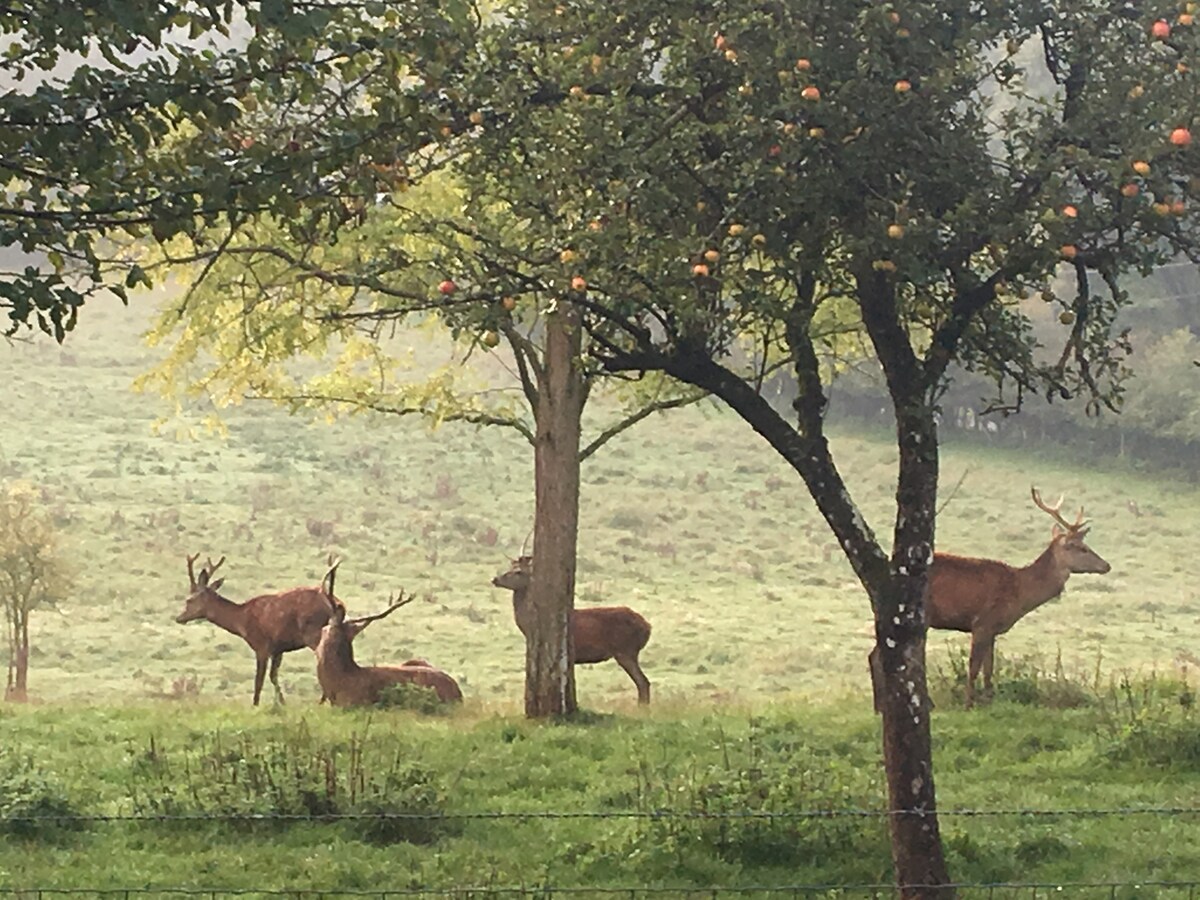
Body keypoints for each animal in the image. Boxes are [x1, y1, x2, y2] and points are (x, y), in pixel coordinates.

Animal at [174, 554, 345, 710]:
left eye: (189, 600)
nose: (179, 618)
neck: (241, 621)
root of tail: (333, 601)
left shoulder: (261, 645)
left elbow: (259, 679)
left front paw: (255, 705)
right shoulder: (278, 648)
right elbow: (273, 676)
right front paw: (282, 702)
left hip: (313, 631)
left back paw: (323, 700)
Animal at [489, 556, 652, 705]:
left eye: (518, 571)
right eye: (510, 568)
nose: (495, 579)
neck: (528, 628)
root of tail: (647, 627)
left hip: (626, 650)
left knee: (643, 681)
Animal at [926, 489, 1113, 710]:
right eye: (1080, 547)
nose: (1107, 565)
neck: (1019, 591)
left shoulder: (992, 629)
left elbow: (989, 669)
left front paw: (989, 702)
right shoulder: (982, 622)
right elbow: (973, 668)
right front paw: (968, 705)